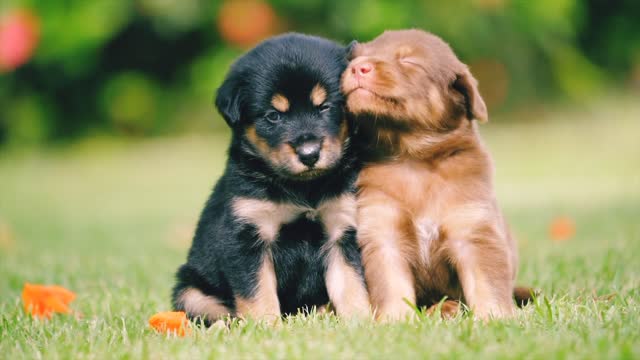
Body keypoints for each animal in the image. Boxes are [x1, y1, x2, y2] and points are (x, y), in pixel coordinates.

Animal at [171, 32, 370, 322]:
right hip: (191, 290)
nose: (309, 154)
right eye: (273, 116)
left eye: (325, 107)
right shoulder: (248, 235)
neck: (303, 188)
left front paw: (361, 321)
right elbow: (257, 292)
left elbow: (352, 284)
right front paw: (265, 325)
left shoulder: (342, 229)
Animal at [342, 28, 528, 320]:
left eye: (409, 61)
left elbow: (486, 283)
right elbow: (392, 284)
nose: (358, 67)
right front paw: (394, 320)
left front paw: (494, 317)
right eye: (356, 57)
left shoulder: (472, 229)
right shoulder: (383, 232)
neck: (412, 158)